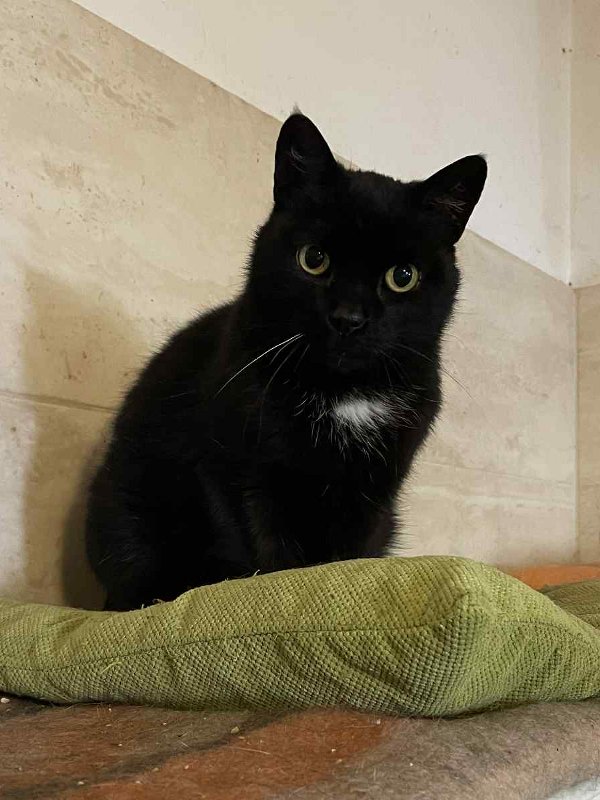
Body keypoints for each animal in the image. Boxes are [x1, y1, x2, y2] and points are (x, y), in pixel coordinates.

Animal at [85, 113, 487, 611]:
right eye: (313, 259)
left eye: (403, 276)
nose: (348, 319)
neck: (344, 391)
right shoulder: (242, 470)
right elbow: (265, 547)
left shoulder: (374, 490)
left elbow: (350, 552)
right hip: (127, 505)